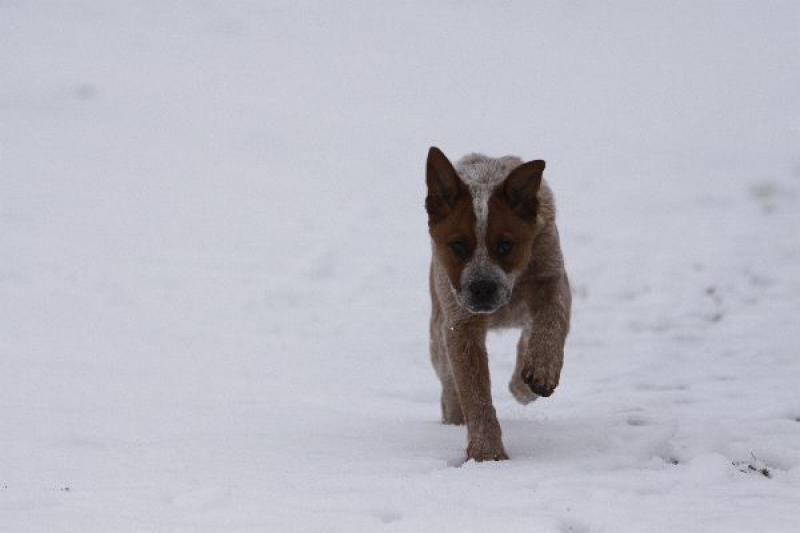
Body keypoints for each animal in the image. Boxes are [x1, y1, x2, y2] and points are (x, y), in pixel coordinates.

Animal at [425, 146, 571, 461]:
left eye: (505, 245)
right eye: (458, 245)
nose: (482, 287)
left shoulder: (551, 277)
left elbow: (551, 323)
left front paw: (540, 373)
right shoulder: (460, 325)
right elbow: (475, 394)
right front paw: (487, 453)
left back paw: (522, 384)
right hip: (437, 334)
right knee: (449, 384)